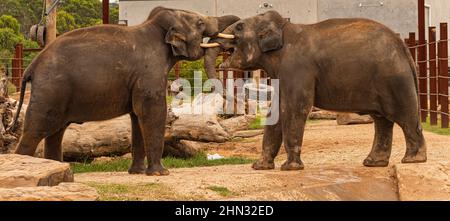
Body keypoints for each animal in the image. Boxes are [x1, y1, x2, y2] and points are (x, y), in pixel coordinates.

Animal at [10, 6, 241, 175]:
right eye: (200, 23)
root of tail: (32, 66)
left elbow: (136, 117)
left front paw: (137, 173)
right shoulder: (149, 73)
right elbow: (152, 112)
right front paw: (161, 173)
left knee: (55, 132)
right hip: (50, 91)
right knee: (35, 129)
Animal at [206, 10, 428, 171]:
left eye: (240, 27)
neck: (282, 26)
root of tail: (404, 48)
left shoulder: (296, 68)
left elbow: (294, 109)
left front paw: (290, 168)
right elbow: (275, 112)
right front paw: (260, 167)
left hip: (394, 79)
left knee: (404, 117)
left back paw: (413, 160)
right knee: (382, 121)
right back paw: (373, 163)